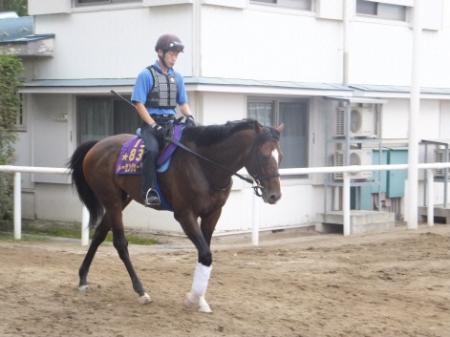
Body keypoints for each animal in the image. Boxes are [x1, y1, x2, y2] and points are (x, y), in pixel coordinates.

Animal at [68, 119, 284, 312]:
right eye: (264, 155)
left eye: (280, 156)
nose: (274, 195)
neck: (204, 165)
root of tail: (97, 145)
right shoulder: (185, 215)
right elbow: (206, 255)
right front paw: (192, 298)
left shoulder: (212, 214)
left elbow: (204, 253)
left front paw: (201, 300)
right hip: (111, 199)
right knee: (120, 243)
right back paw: (140, 291)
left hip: (121, 200)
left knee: (99, 235)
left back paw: (83, 278)